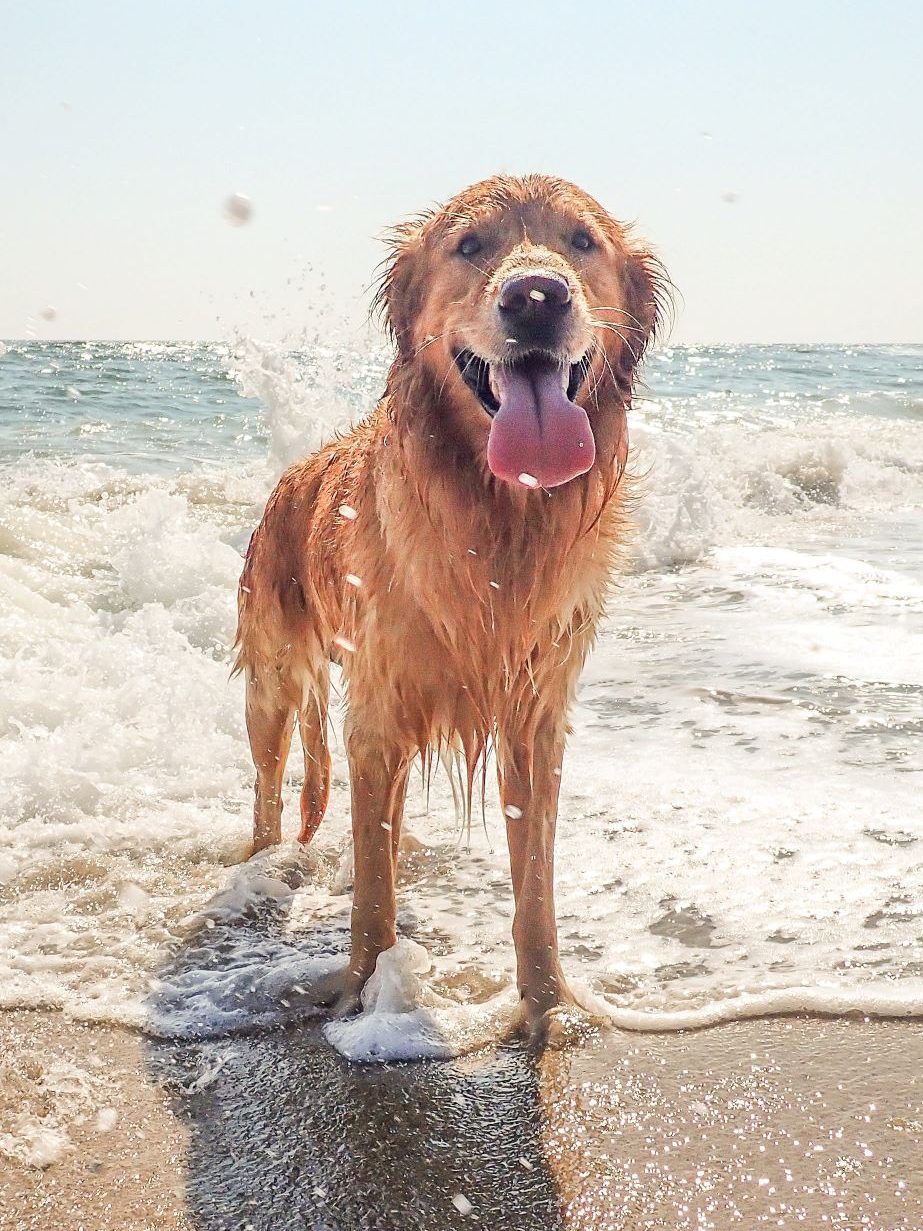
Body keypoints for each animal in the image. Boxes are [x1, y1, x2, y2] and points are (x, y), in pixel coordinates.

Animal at [235, 176, 669, 1038]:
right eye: (469, 245)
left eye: (581, 241)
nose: (534, 297)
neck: (498, 515)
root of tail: (290, 476)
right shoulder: (377, 708)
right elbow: (373, 892)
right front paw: (364, 988)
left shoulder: (535, 713)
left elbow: (533, 884)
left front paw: (545, 1002)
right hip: (271, 678)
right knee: (269, 784)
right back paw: (266, 868)